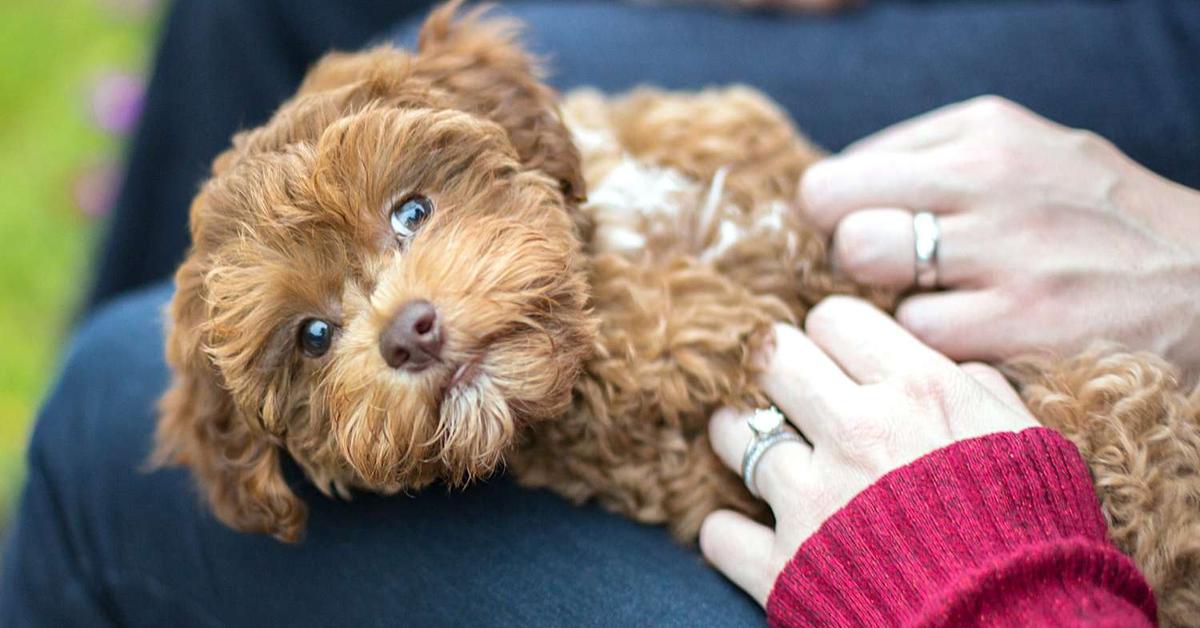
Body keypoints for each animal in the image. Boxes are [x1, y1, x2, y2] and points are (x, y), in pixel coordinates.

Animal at [154, 2, 1195, 624]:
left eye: (412, 211)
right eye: (312, 337)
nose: (409, 332)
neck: (611, 271)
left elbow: (1118, 404)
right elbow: (1107, 414)